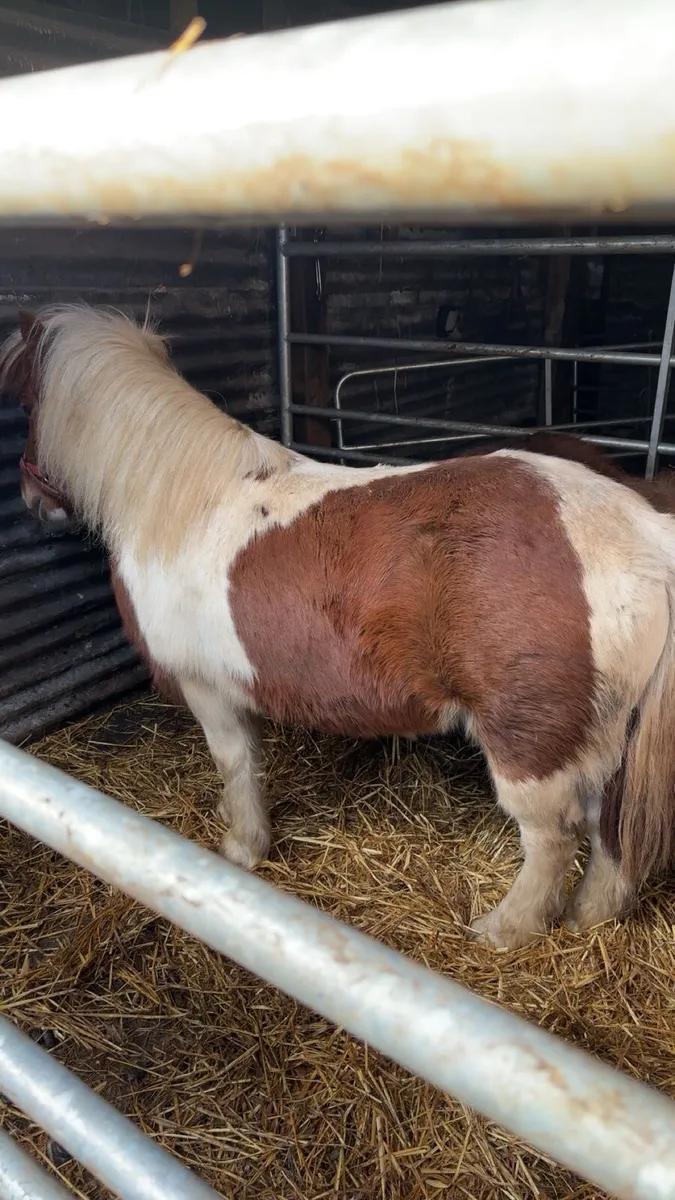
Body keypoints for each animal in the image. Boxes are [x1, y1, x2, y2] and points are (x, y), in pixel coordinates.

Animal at [3, 303, 675, 952]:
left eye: (28, 402)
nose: (33, 500)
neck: (180, 504)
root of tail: (645, 533)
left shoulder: (206, 689)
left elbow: (235, 763)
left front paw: (242, 848)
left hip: (532, 746)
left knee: (553, 838)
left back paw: (503, 931)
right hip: (608, 737)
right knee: (609, 832)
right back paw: (587, 919)